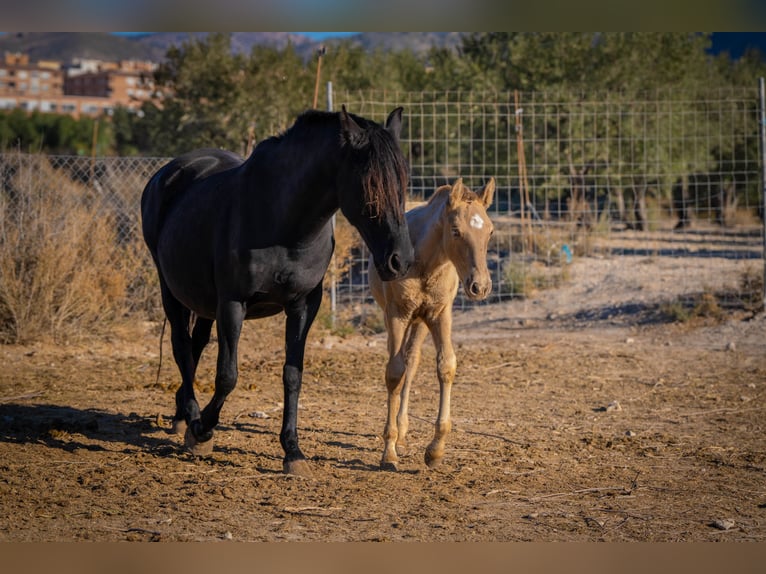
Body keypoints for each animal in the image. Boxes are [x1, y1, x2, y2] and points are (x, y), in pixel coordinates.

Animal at [138, 108, 414, 476]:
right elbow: (227, 375)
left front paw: (293, 452)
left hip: (204, 302)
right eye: (369, 183)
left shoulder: (303, 305)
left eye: (403, 182)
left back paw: (183, 415)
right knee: (182, 347)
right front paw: (203, 430)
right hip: (171, 290)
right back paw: (192, 421)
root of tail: (167, 174)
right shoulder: (232, 304)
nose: (401, 260)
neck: (285, 224)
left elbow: (292, 375)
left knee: (195, 347)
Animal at [372, 180, 498, 472]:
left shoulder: (440, 314)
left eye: (490, 230)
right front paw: (388, 452)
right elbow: (394, 373)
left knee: (411, 362)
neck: (425, 263)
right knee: (399, 366)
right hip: (396, 317)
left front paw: (435, 450)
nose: (480, 286)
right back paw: (396, 437)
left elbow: (446, 366)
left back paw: (403, 433)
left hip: (418, 322)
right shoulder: (397, 315)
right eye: (456, 231)